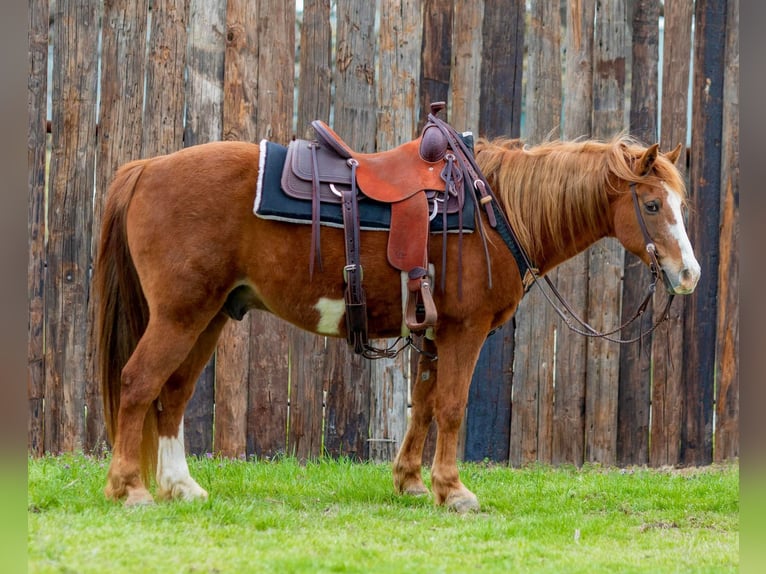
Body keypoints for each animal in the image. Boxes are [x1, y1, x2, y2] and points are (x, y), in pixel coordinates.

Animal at [93, 134, 700, 512]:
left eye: (680, 203)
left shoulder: (432, 331)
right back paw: (130, 489)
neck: (494, 210)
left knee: (172, 393)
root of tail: (145, 169)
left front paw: (410, 482)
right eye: (651, 205)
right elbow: (451, 406)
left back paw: (180, 486)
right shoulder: (464, 329)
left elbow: (425, 405)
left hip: (210, 315)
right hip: (181, 315)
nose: (689, 274)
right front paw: (453, 491)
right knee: (138, 383)